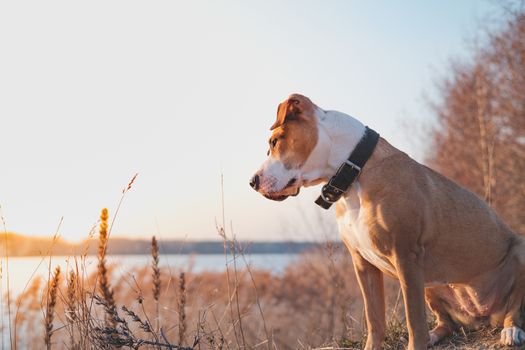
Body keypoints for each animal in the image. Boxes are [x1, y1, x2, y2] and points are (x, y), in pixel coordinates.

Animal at [250, 93, 524, 350]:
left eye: (274, 142)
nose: (252, 181)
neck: (354, 172)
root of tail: (485, 317)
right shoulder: (362, 263)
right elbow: (374, 319)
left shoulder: (405, 257)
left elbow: (413, 320)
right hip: (431, 284)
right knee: (447, 323)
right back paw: (435, 335)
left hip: (517, 252)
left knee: (514, 309)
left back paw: (511, 331)